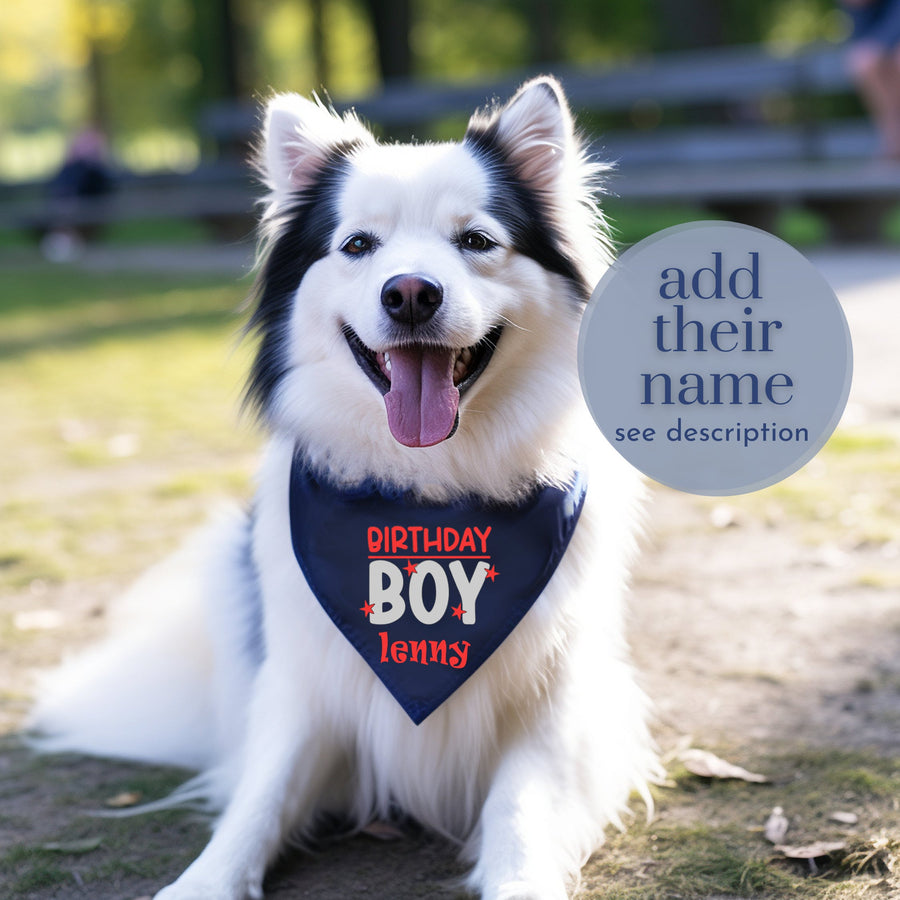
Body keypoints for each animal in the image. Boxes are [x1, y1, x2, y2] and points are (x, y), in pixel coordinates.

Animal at [31, 75, 656, 900]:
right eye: (358, 245)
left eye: (476, 242)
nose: (412, 293)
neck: (427, 490)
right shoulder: (304, 681)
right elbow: (261, 795)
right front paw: (205, 879)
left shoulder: (556, 698)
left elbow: (520, 805)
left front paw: (522, 881)